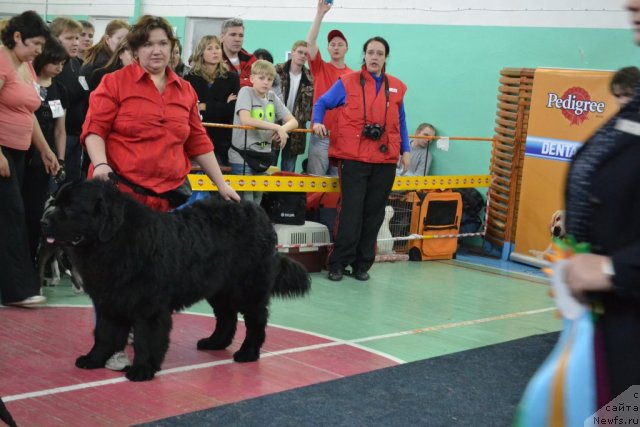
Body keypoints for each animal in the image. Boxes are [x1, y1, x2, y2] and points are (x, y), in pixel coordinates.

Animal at [41, 182, 312, 382]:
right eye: (55, 202)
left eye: (70, 208)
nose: (43, 221)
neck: (116, 241)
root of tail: (260, 213)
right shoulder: (109, 300)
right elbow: (104, 334)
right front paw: (93, 359)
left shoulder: (148, 308)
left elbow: (146, 339)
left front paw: (142, 369)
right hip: (218, 287)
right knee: (227, 317)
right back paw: (215, 342)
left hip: (247, 287)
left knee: (255, 321)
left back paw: (247, 352)